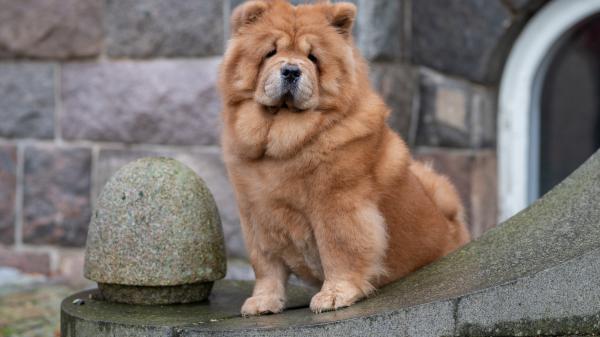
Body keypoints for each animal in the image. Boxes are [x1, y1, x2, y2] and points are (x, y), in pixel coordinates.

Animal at [218, 0, 472, 316]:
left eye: (313, 58)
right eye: (271, 53)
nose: (291, 70)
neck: (284, 146)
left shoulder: (337, 204)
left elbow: (340, 250)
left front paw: (335, 296)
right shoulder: (255, 214)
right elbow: (266, 265)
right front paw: (263, 302)